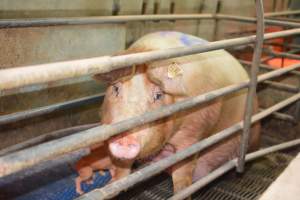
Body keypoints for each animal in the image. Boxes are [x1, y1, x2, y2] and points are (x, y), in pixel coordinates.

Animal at [78, 31, 260, 197]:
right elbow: (122, 171)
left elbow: (182, 176)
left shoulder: (194, 133)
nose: (125, 138)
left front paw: (182, 193)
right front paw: (110, 186)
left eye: (158, 95)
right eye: (116, 88)